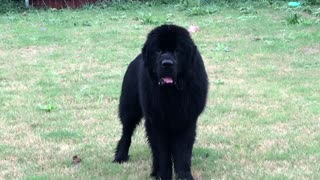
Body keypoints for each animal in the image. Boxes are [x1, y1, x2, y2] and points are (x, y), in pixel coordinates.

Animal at [114, 24, 209, 180]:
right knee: (126, 133)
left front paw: (184, 176)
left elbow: (182, 153)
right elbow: (162, 153)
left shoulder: (186, 121)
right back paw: (121, 157)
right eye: (158, 50)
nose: (167, 64)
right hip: (129, 109)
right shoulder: (156, 122)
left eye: (177, 50)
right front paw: (163, 175)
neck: (171, 94)